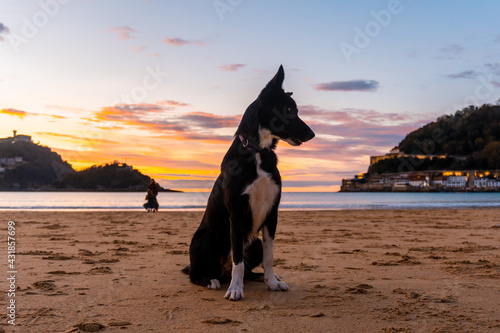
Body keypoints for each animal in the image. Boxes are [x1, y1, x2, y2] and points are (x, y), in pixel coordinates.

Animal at [184, 66, 314, 300]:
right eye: (290, 109)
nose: (312, 134)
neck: (258, 151)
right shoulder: (236, 215)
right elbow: (238, 260)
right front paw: (235, 289)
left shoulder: (272, 212)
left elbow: (269, 256)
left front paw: (272, 282)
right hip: (204, 239)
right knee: (197, 274)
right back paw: (211, 280)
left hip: (254, 243)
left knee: (250, 267)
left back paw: (260, 278)